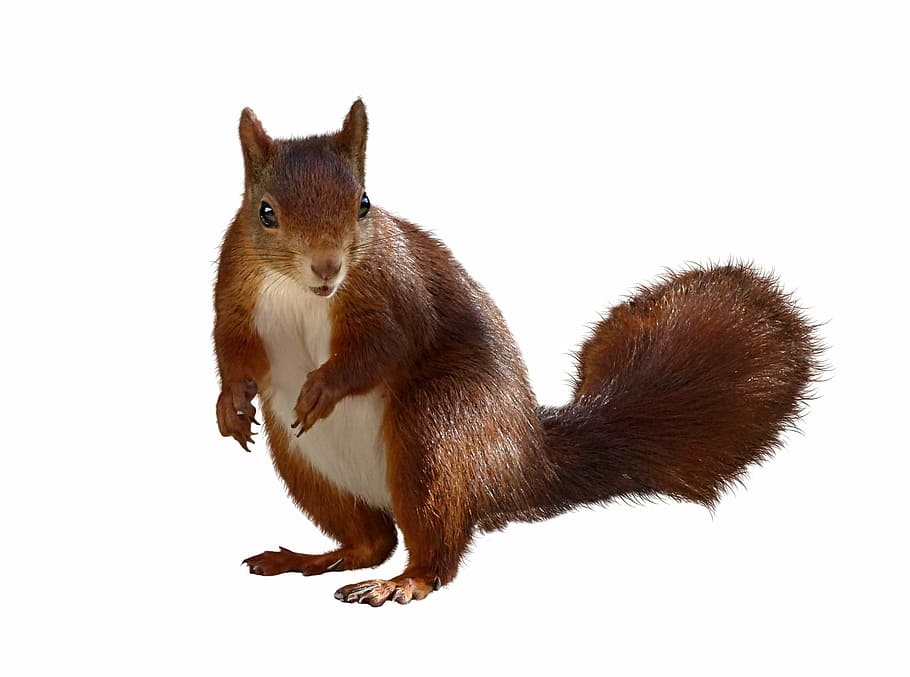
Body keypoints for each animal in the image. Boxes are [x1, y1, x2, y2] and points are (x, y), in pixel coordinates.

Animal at [213, 100, 823, 606]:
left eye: (364, 203)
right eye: (265, 212)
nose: (327, 268)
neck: (301, 293)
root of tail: (522, 465)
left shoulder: (394, 292)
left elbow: (381, 348)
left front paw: (322, 388)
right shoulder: (235, 288)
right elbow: (232, 348)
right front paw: (230, 406)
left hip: (436, 435)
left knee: (434, 548)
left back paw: (401, 583)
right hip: (305, 464)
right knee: (371, 541)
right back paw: (310, 558)